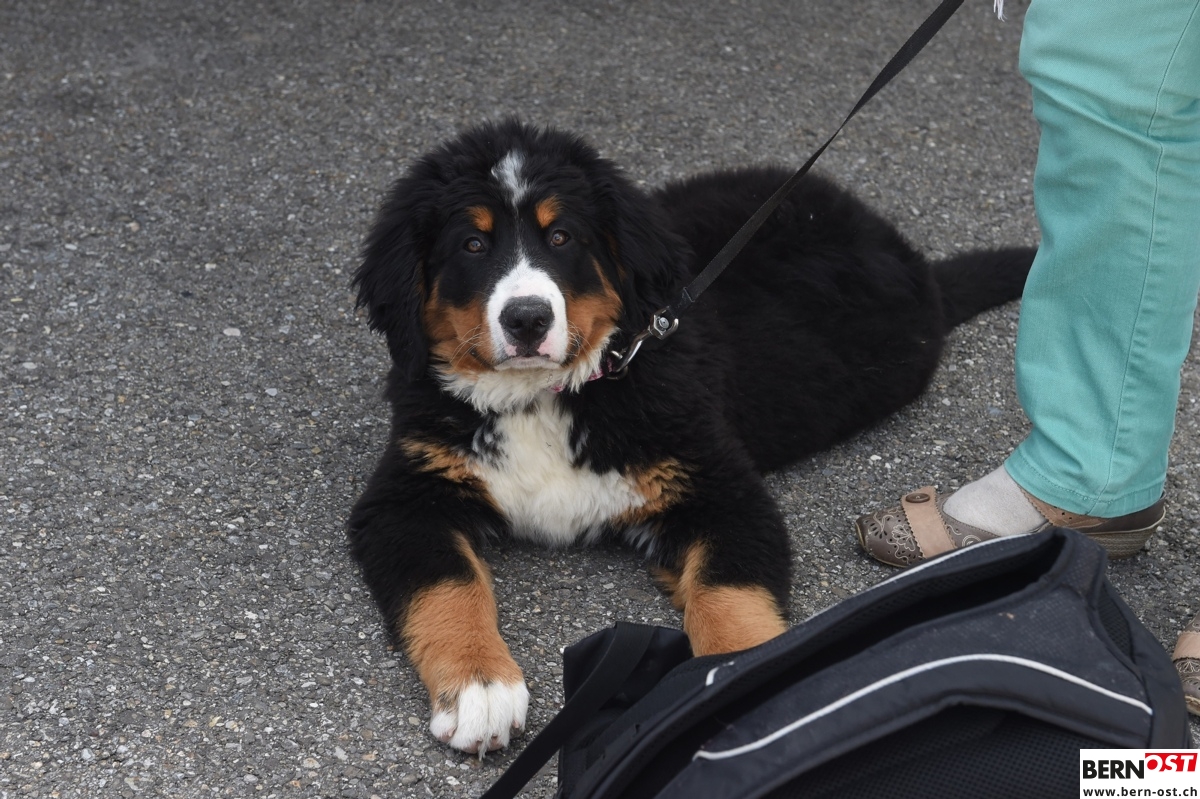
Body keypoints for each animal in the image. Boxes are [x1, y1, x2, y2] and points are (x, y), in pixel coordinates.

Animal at [348, 118, 1033, 754]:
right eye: (472, 244)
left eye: (562, 237)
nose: (527, 319)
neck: (543, 399)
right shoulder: (407, 497)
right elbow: (446, 587)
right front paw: (481, 689)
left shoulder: (722, 487)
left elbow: (728, 597)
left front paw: (741, 681)